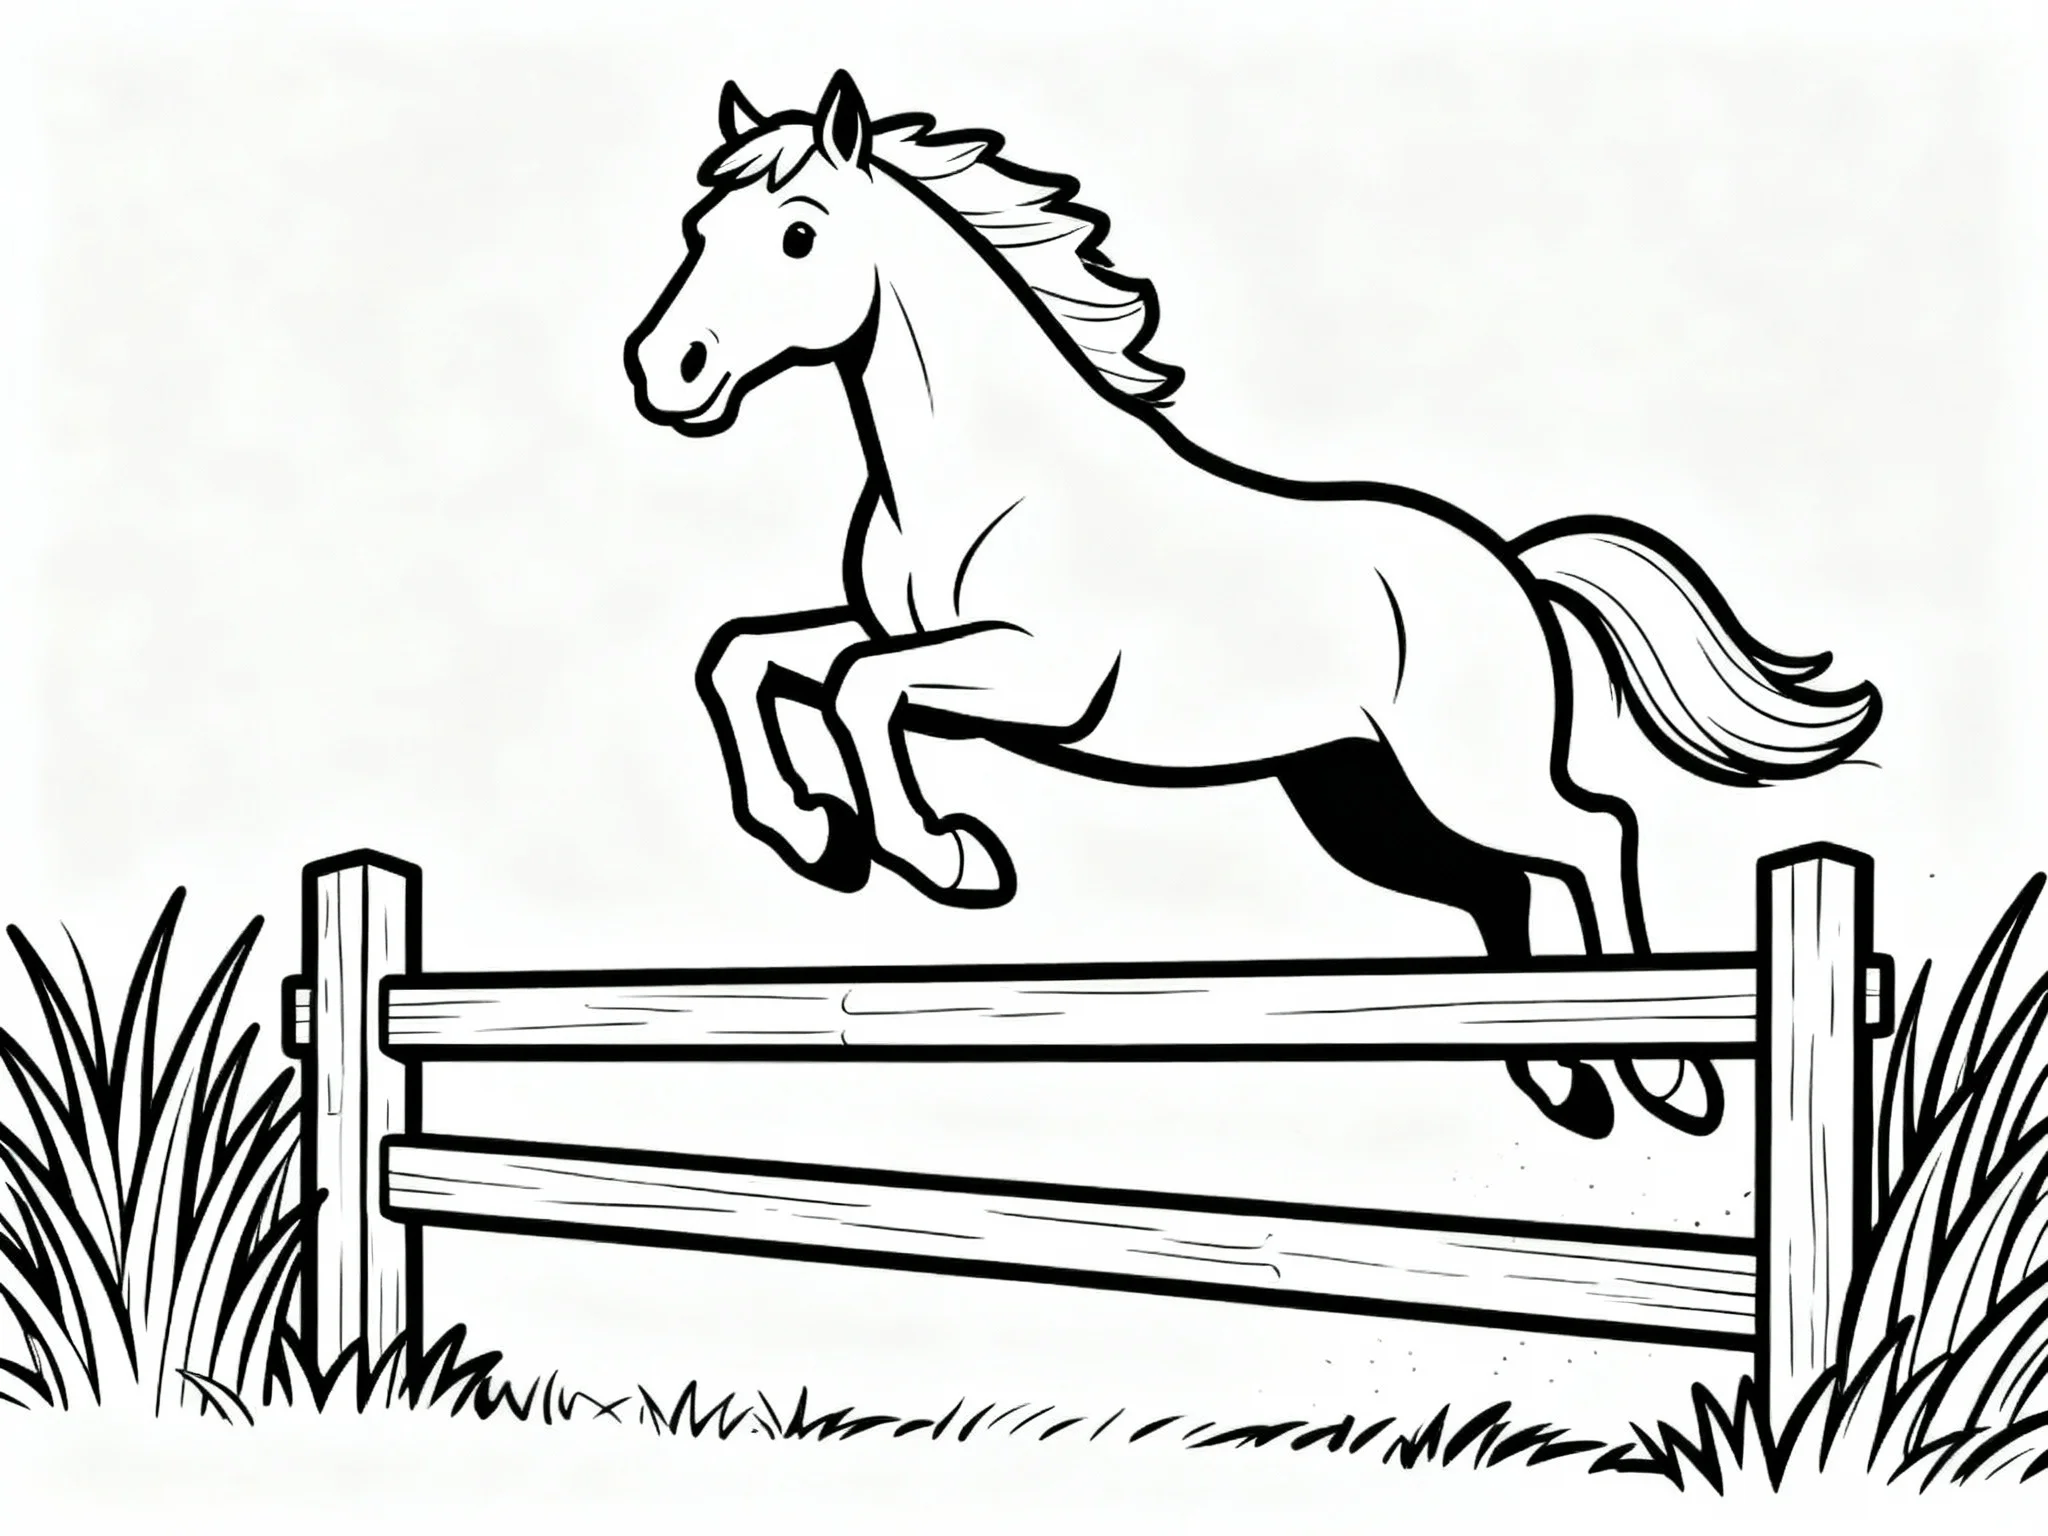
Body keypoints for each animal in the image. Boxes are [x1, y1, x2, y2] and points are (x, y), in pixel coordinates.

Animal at [624, 72, 1881, 1141]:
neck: (984, 475)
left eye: (798, 234)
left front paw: (949, 857)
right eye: (698, 231)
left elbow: (856, 690)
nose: (665, 370)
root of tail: (1511, 570)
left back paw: (1664, 1074)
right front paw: (813, 834)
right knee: (1504, 886)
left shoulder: (1038, 675)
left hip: (1469, 778)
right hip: (1364, 800)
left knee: (1591, 834)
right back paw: (1560, 1072)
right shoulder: (908, 637)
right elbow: (748, 659)